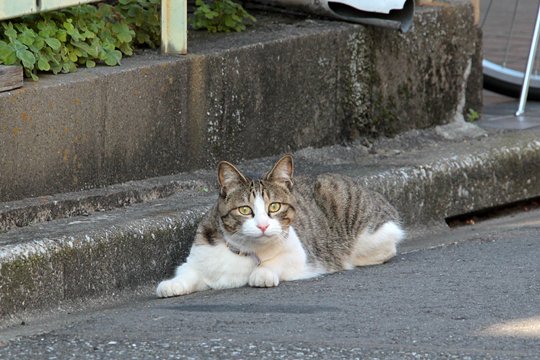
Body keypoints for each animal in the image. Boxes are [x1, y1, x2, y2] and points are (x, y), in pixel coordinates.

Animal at [154, 153, 402, 296]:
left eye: (274, 207)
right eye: (245, 210)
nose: (263, 226)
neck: (245, 250)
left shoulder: (299, 254)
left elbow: (276, 262)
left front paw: (261, 273)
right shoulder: (199, 256)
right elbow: (187, 271)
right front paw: (172, 284)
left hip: (370, 233)